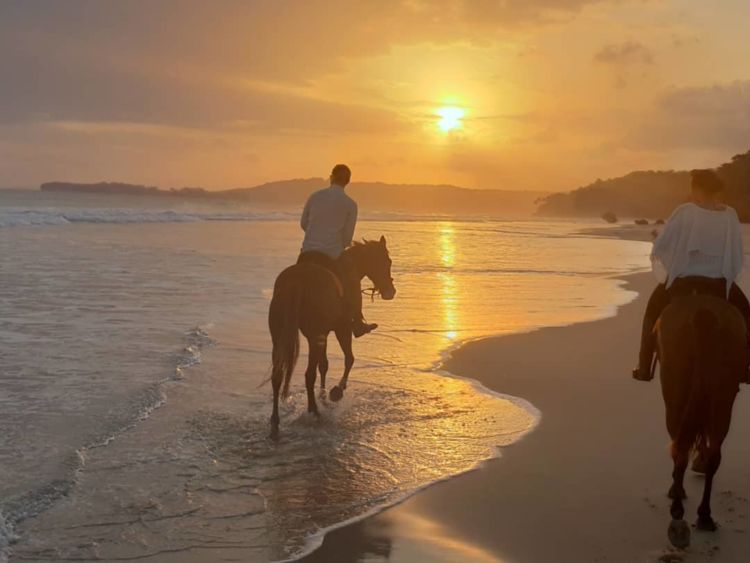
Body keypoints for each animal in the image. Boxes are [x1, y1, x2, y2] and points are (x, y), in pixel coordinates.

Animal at [268, 236, 396, 434]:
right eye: (387, 261)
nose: (390, 292)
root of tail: (298, 280)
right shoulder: (341, 328)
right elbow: (349, 359)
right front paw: (337, 391)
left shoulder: (322, 334)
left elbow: (324, 365)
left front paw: (323, 395)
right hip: (315, 335)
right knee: (308, 374)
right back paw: (314, 411)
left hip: (280, 335)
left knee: (277, 375)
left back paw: (275, 419)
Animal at [656, 294, 748, 548]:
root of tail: (703, 313)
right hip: (722, 397)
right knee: (714, 453)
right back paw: (705, 515)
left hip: (675, 394)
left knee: (679, 449)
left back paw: (678, 511)